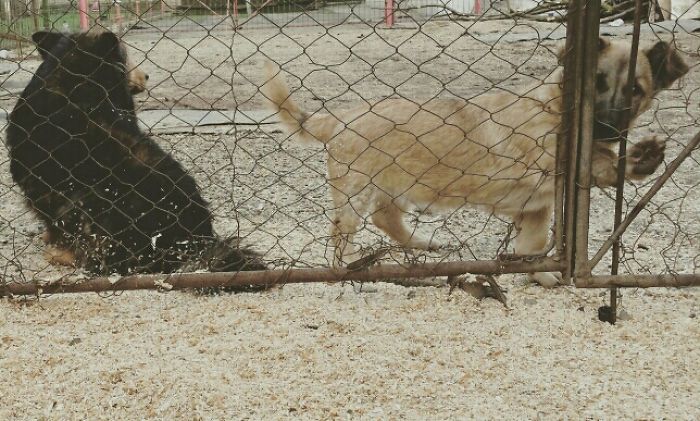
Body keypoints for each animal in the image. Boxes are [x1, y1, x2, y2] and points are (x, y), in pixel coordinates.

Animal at [262, 38, 688, 286]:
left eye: (637, 90)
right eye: (596, 81)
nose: (607, 128)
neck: (554, 107)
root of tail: (338, 117)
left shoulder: (536, 209)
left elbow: (533, 244)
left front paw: (541, 274)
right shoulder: (546, 159)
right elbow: (593, 163)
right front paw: (632, 160)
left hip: (392, 190)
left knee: (387, 219)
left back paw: (423, 244)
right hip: (355, 193)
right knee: (339, 236)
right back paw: (347, 265)